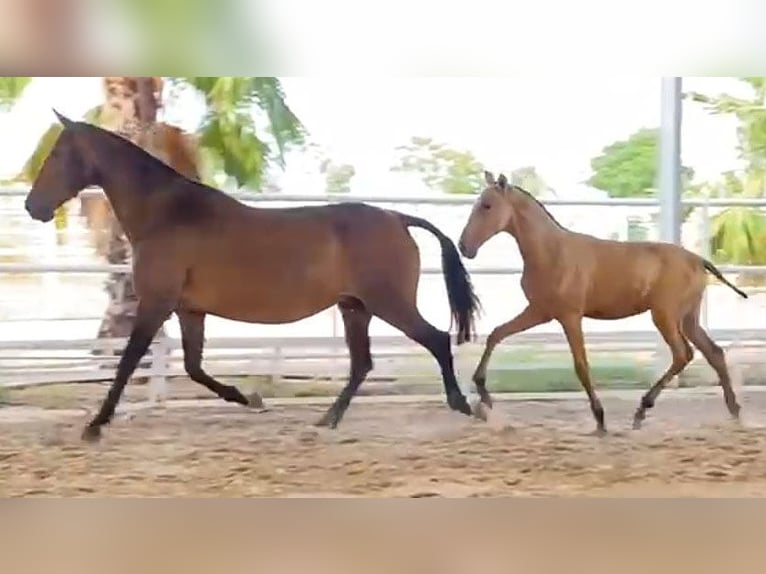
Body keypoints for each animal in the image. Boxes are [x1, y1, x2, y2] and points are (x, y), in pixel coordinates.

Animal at [27, 110, 484, 444]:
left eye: (57, 155)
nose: (33, 206)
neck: (167, 214)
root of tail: (397, 217)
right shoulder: (189, 311)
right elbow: (193, 367)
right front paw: (249, 397)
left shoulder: (156, 304)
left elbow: (127, 363)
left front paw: (95, 425)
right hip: (355, 308)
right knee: (362, 365)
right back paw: (326, 421)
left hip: (388, 302)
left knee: (435, 340)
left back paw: (464, 406)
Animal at [460, 171, 748, 436]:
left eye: (487, 205)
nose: (464, 247)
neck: (552, 252)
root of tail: (699, 260)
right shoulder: (539, 311)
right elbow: (496, 334)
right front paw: (483, 396)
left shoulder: (569, 316)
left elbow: (581, 365)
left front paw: (600, 419)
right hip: (688, 318)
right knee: (713, 352)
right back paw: (734, 412)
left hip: (664, 315)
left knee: (683, 354)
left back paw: (642, 410)